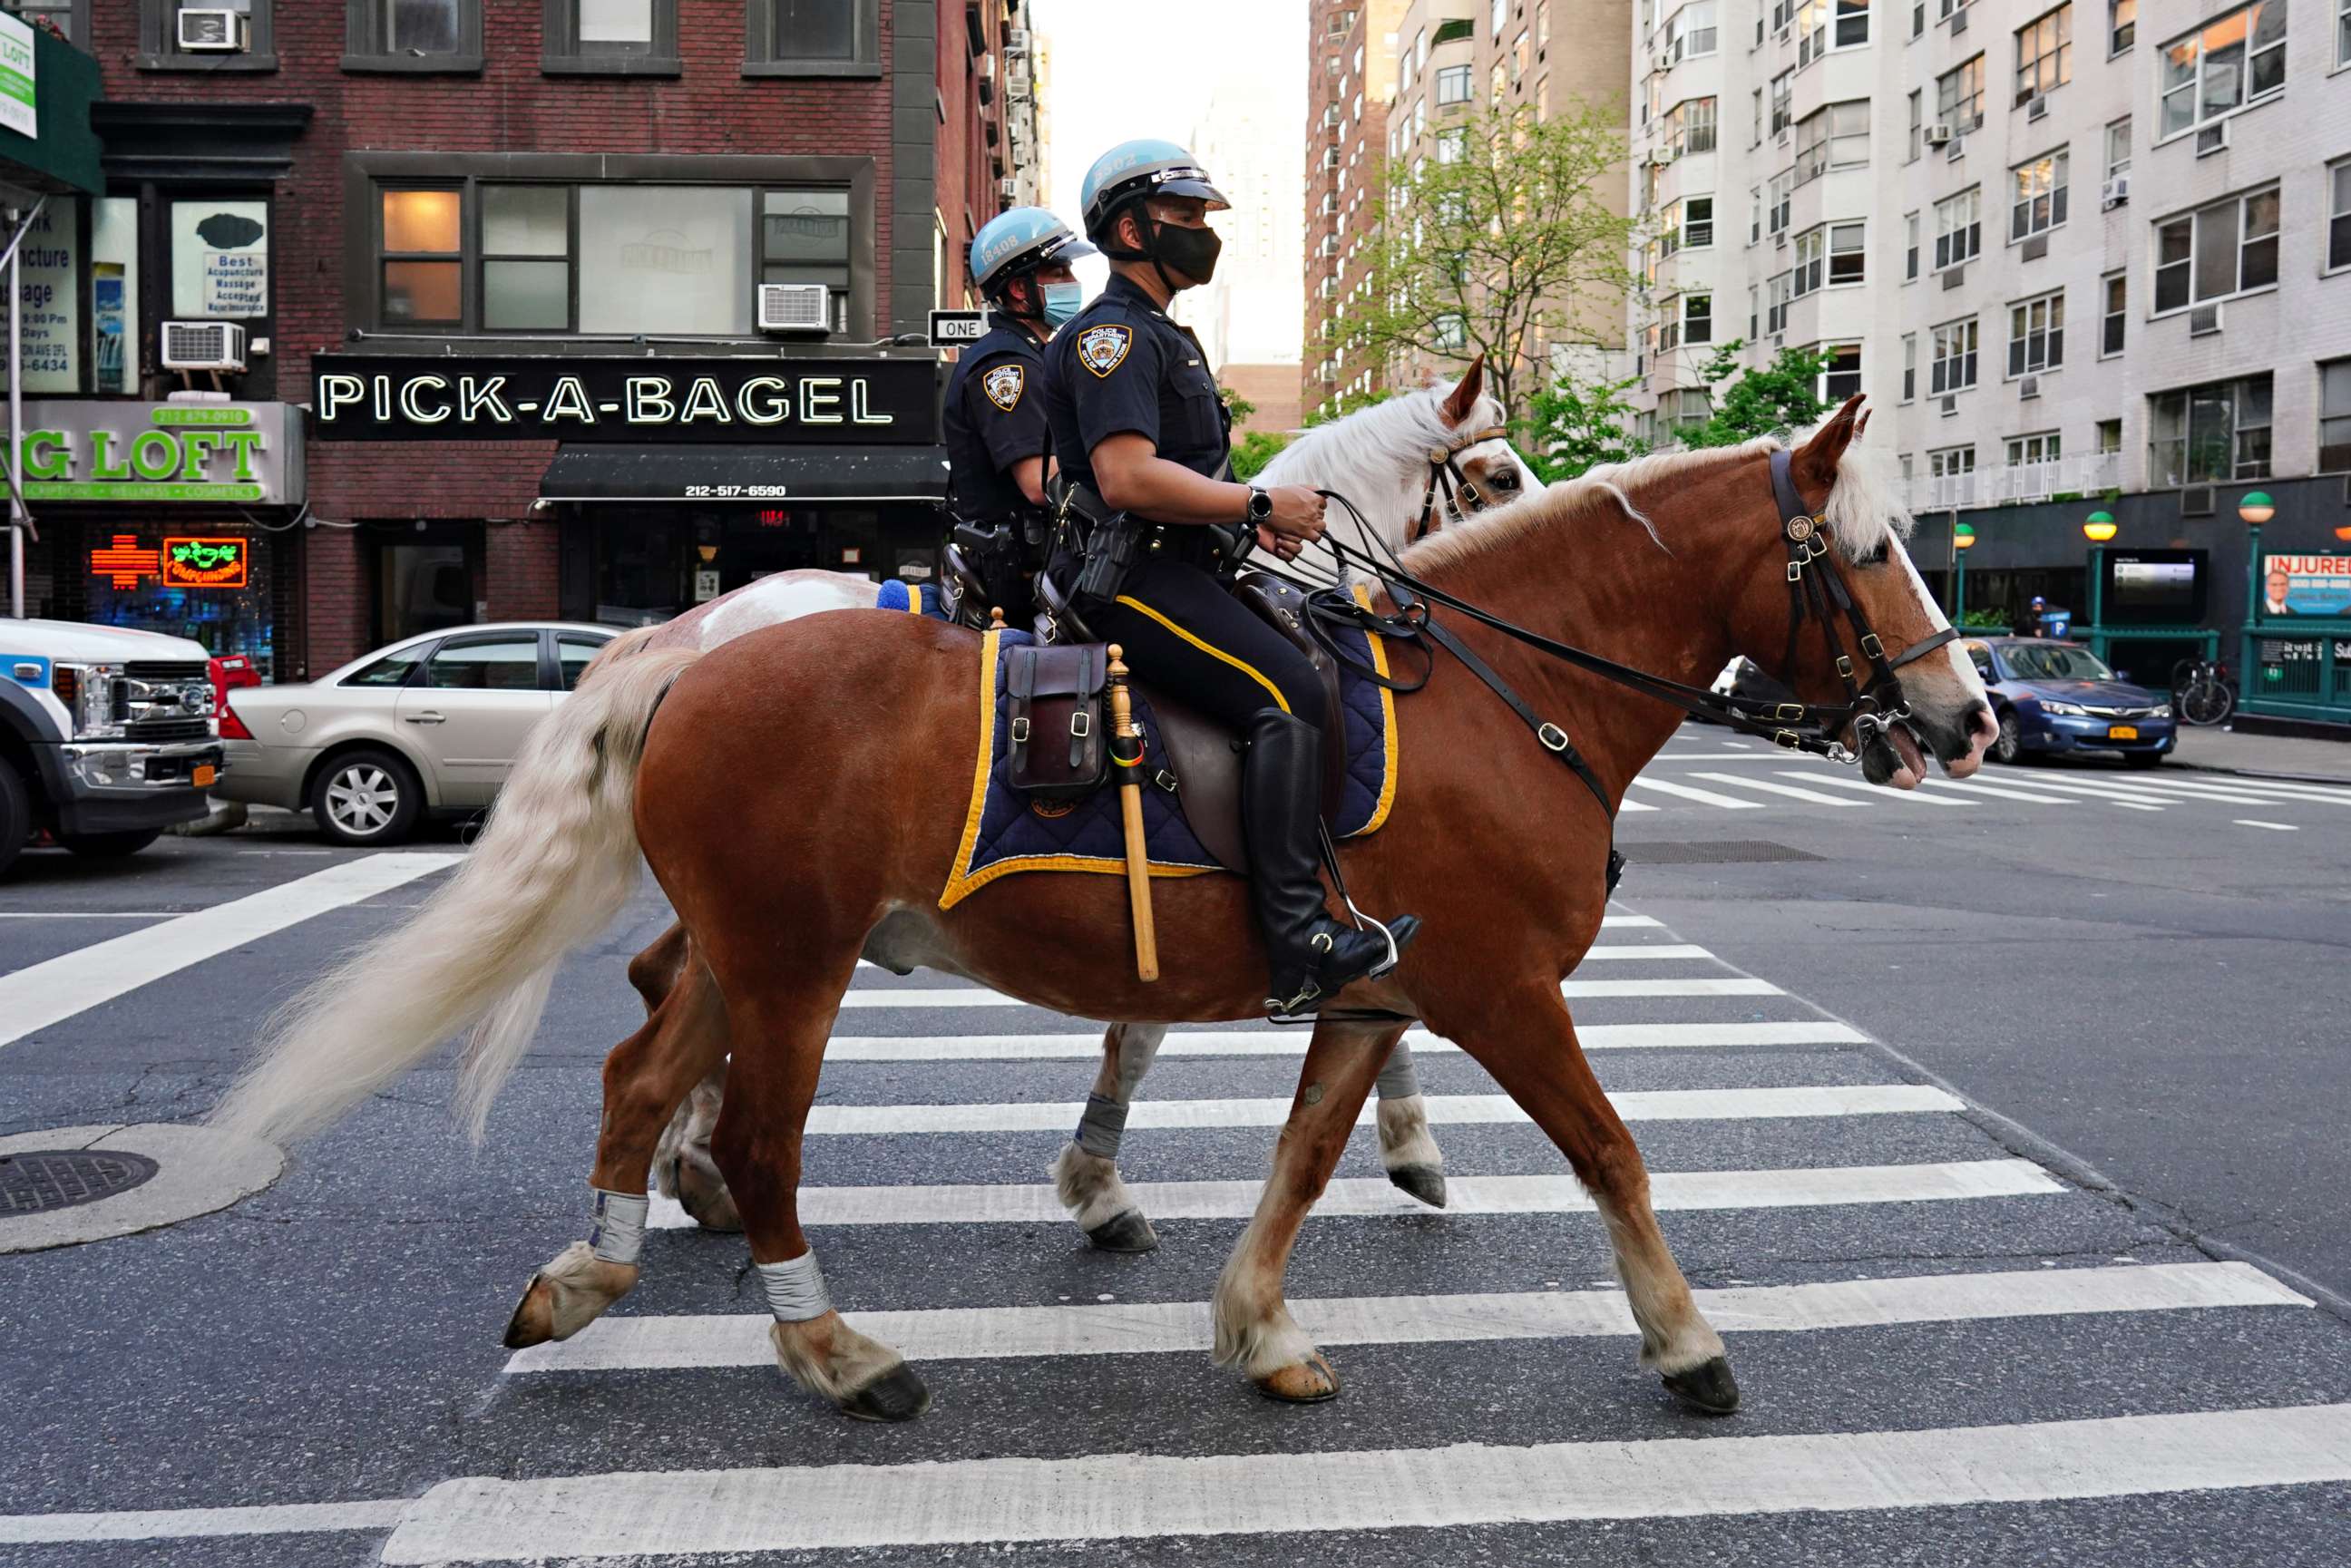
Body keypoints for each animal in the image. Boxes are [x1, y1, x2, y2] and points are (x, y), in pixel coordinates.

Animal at [220, 399, 1994, 1429]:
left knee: (642, 1072)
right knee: (759, 1138)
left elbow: (1300, 1157)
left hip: (749, 947)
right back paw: (831, 1348)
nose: (1972, 720)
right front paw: (1684, 1342)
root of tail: (689, 650)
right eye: (1873, 548)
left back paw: (596, 1268)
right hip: (792, 959)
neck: (1510, 694)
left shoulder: (1376, 989)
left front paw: (1253, 1319)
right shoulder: (1499, 989)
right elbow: (1612, 1147)